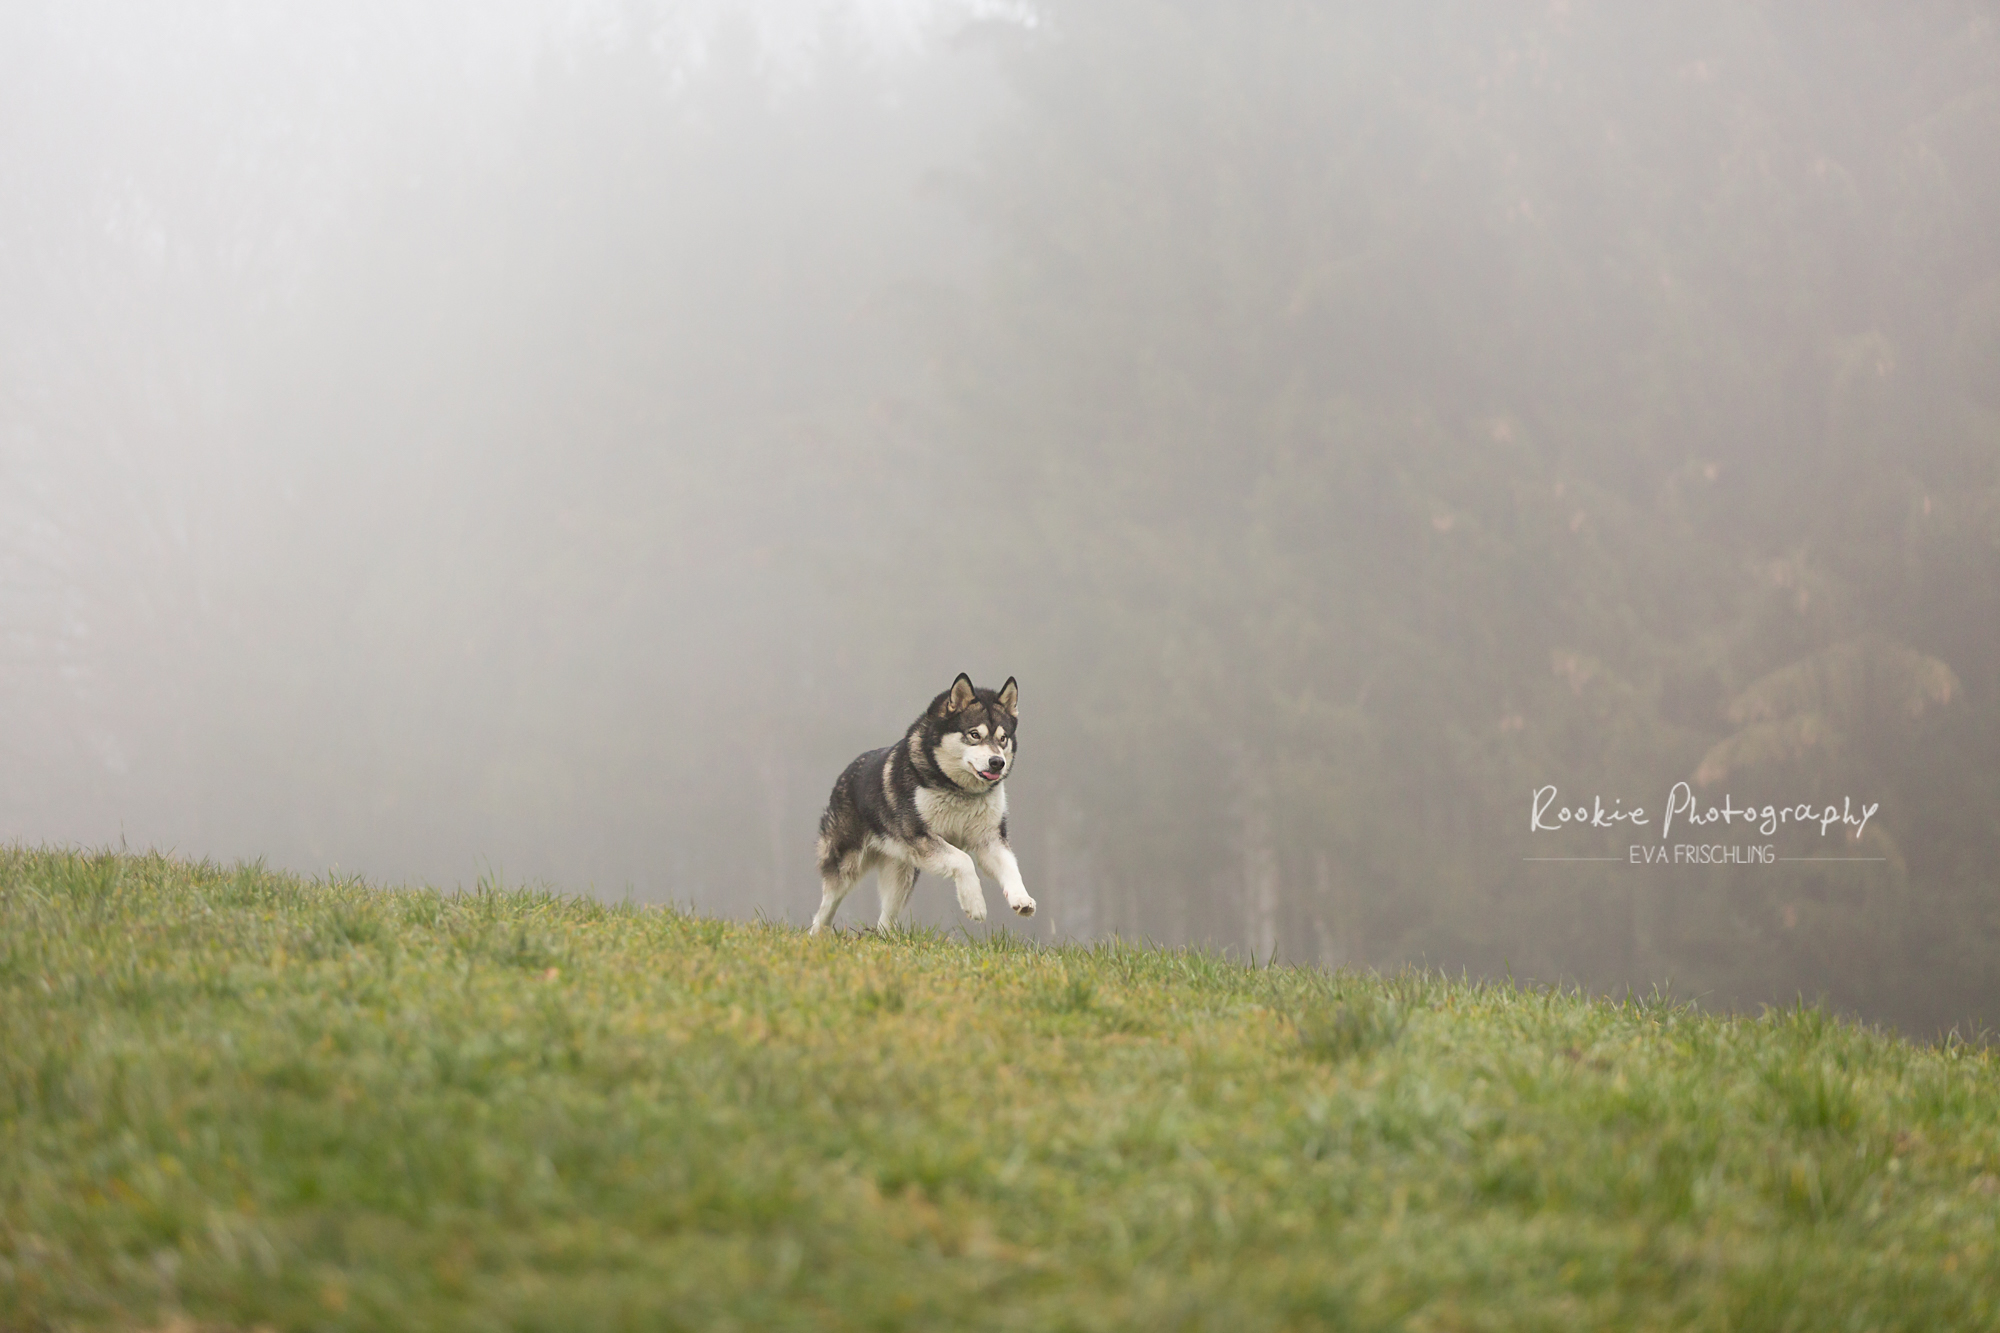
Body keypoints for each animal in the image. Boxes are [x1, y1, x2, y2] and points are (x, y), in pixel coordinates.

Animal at [811, 673, 1035, 934]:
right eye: (974, 735)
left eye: (1003, 738)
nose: (997, 762)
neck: (960, 790)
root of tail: (846, 773)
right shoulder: (921, 837)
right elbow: (964, 860)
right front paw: (975, 904)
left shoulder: (989, 839)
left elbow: (1011, 867)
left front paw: (1021, 898)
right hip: (846, 866)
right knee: (825, 907)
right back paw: (817, 935)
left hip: (901, 875)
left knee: (886, 918)